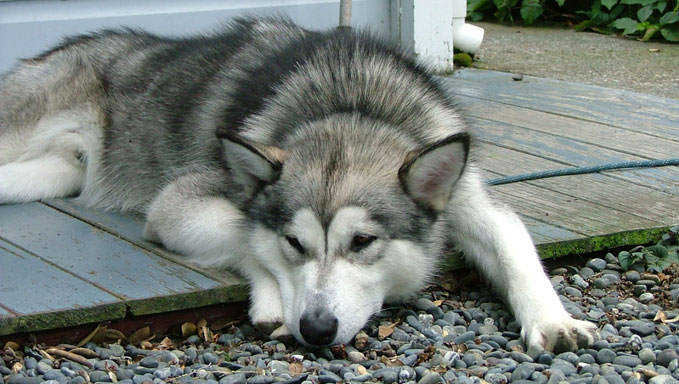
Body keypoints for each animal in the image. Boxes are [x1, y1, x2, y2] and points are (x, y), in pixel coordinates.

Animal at [0, 17, 596, 354]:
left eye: (363, 243)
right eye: (294, 243)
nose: (316, 329)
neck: (351, 101)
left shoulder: (471, 200)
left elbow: (513, 245)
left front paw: (554, 320)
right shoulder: (176, 202)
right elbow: (246, 235)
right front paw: (271, 298)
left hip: (53, 172)